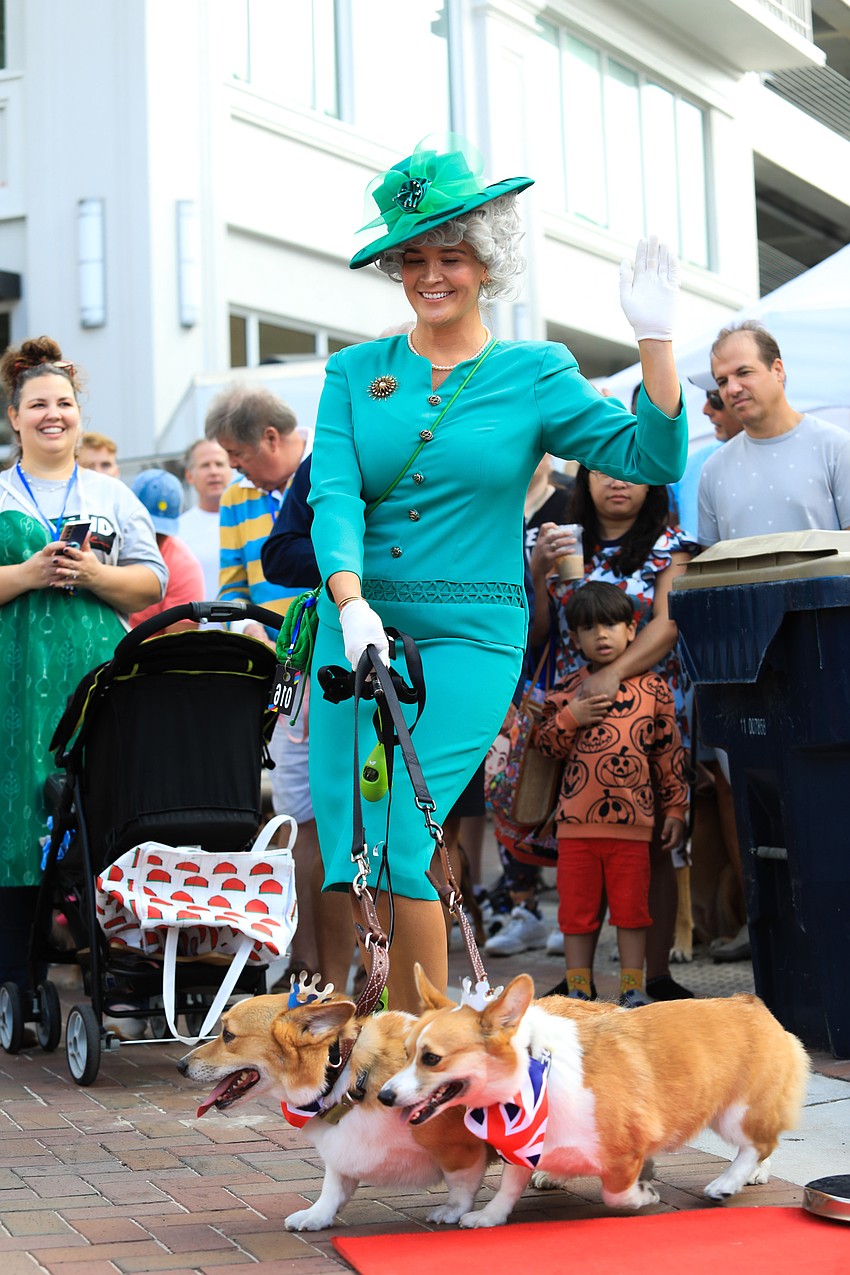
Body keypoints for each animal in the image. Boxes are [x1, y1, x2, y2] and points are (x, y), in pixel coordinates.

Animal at [176, 988, 490, 1230]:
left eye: (228, 1035)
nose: (180, 1065)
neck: (340, 1071)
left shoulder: (460, 1148)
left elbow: (461, 1183)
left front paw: (453, 1211)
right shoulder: (342, 1148)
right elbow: (333, 1186)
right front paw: (316, 1216)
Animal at [377, 965, 810, 1228]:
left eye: (431, 1058)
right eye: (406, 1053)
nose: (383, 1095)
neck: (533, 1078)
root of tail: (748, 1000)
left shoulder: (622, 1147)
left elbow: (616, 1193)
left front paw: (643, 1193)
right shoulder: (524, 1143)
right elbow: (510, 1184)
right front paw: (490, 1216)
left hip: (734, 1112)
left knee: (759, 1143)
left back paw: (735, 1179)